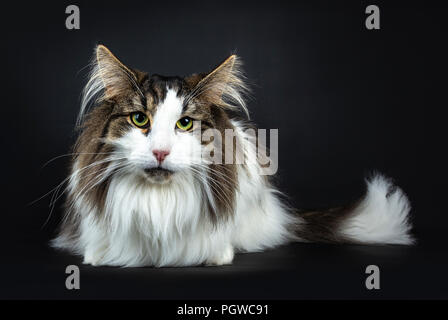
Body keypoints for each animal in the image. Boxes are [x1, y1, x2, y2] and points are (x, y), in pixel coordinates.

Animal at [51, 43, 412, 266]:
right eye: (140, 119)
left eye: (185, 123)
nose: (160, 151)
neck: (159, 201)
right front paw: (98, 255)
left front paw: (218, 256)